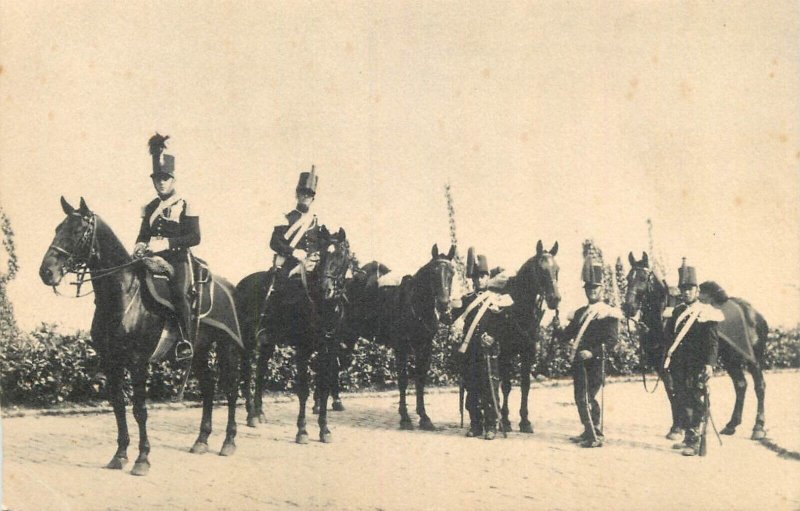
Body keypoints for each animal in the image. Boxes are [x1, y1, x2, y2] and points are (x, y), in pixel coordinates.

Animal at [39, 199, 244, 476]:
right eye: (58, 228)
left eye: (77, 231)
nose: (46, 272)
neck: (123, 294)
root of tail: (230, 288)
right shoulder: (112, 362)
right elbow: (118, 406)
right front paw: (119, 455)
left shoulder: (137, 363)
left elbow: (139, 410)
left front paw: (142, 459)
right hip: (200, 350)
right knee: (209, 387)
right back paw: (201, 440)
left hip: (227, 347)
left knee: (231, 389)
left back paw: (228, 442)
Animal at [234, 228, 354, 444]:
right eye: (322, 255)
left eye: (341, 255)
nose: (326, 289)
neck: (322, 307)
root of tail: (240, 285)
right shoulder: (303, 350)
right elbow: (303, 390)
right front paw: (302, 431)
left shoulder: (329, 350)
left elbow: (324, 388)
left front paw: (325, 430)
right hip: (248, 342)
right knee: (247, 372)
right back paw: (251, 414)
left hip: (268, 342)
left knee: (261, 370)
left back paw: (259, 412)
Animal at [340, 246, 456, 430]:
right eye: (433, 272)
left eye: (452, 272)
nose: (443, 304)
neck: (414, 305)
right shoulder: (400, 348)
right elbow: (403, 379)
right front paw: (405, 417)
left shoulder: (425, 348)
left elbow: (420, 380)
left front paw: (424, 417)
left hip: (349, 339)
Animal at [494, 242, 564, 434]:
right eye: (540, 269)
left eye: (557, 269)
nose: (554, 299)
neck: (518, 311)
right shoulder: (505, 354)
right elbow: (507, 386)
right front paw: (506, 420)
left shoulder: (528, 354)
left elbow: (525, 385)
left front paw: (525, 421)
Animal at [620, 252, 768, 440]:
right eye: (627, 278)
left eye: (643, 277)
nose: (628, 307)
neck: (662, 317)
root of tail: (755, 314)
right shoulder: (662, 365)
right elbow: (672, 392)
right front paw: (682, 426)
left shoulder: (673, 363)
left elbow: (677, 392)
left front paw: (678, 428)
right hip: (730, 359)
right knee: (741, 385)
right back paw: (731, 425)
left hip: (753, 359)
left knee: (759, 386)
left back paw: (758, 427)